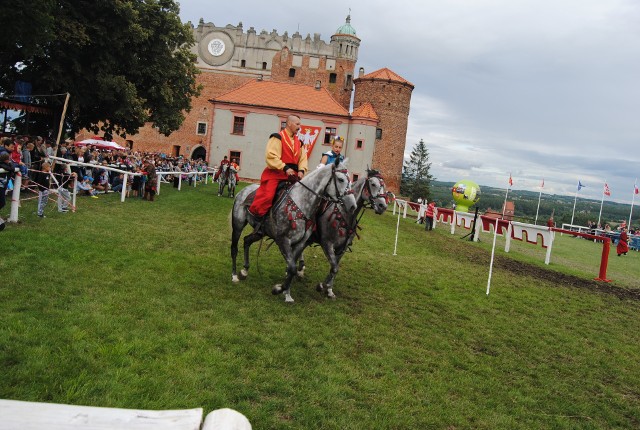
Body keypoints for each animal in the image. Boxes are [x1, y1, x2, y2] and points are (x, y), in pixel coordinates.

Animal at [231, 160, 356, 302]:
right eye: (340, 179)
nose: (353, 206)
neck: (301, 203)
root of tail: (242, 192)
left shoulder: (300, 243)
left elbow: (292, 268)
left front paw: (287, 293)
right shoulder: (283, 240)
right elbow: (291, 267)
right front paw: (278, 289)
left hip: (260, 232)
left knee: (247, 241)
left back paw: (244, 271)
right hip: (238, 225)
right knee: (234, 248)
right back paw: (234, 276)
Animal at [302, 169, 390, 298]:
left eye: (384, 186)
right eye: (373, 184)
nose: (382, 206)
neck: (345, 214)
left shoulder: (342, 249)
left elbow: (334, 267)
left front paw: (329, 289)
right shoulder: (327, 244)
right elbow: (334, 268)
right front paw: (322, 286)